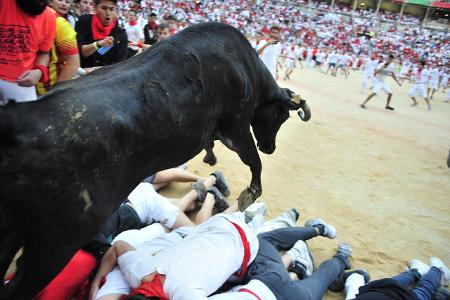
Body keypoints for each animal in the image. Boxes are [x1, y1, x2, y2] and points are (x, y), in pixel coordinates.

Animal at [0, 21, 310, 298]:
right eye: (281, 115)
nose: (270, 147)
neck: (246, 68)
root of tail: (18, 122)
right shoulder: (237, 129)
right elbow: (254, 162)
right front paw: (249, 195)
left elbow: (216, 147)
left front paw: (211, 160)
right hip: (55, 248)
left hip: (12, 233)